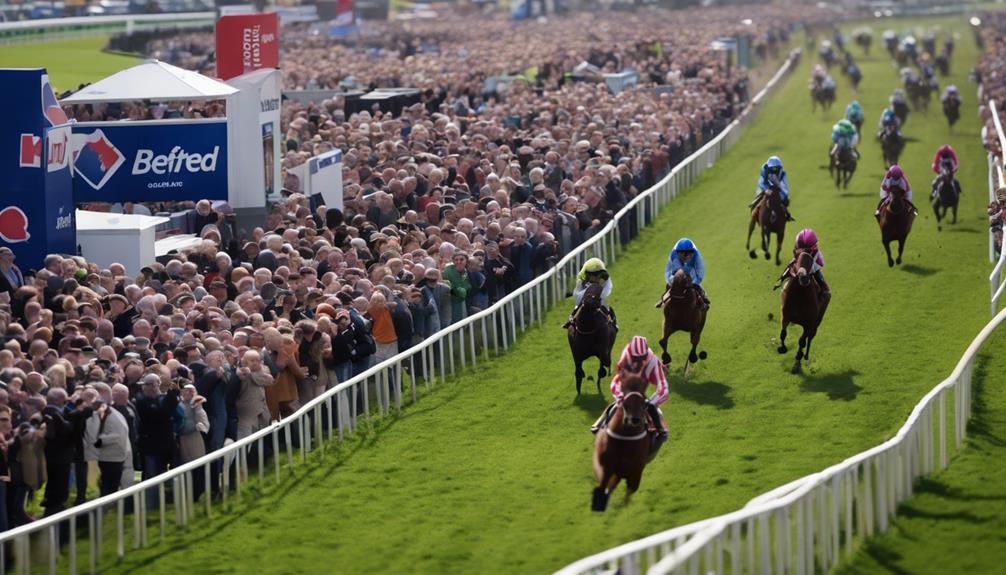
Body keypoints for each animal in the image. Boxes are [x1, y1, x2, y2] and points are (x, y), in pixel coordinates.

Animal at [587, 375, 651, 514]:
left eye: (643, 398)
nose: (634, 419)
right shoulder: (603, 464)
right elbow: (604, 484)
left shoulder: (635, 471)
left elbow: (629, 491)